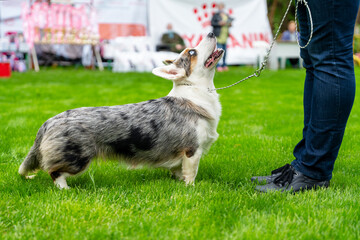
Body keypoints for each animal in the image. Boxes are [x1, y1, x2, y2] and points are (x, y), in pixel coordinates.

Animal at [19, 32, 224, 189]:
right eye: (192, 52)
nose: (211, 33)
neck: (195, 92)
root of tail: (49, 122)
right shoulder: (192, 151)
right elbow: (190, 174)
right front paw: (190, 188)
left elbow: (179, 172)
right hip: (77, 158)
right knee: (55, 172)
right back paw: (65, 189)